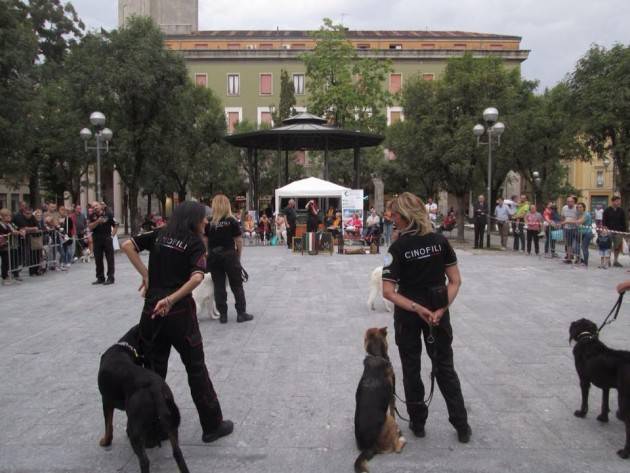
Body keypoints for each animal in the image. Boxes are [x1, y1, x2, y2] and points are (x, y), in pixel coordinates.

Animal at [97, 324, 191, 472]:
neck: (126, 347)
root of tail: (154, 388)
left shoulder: (106, 400)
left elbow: (108, 425)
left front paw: (106, 441)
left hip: (135, 430)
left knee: (144, 460)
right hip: (170, 422)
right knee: (178, 454)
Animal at [572, 318, 630, 458]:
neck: (586, 338)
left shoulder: (584, 379)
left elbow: (585, 400)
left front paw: (581, 413)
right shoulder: (606, 385)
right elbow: (604, 402)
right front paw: (603, 418)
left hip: (624, 399)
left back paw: (624, 452)